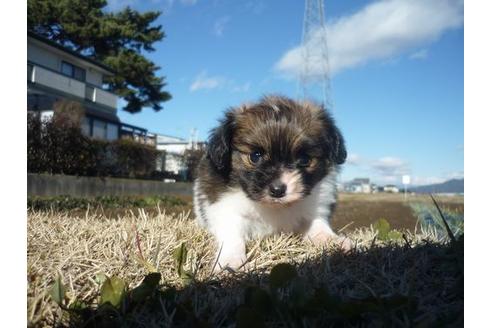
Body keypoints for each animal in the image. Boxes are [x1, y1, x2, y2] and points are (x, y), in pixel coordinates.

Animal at [194, 95, 348, 270]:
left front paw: (334, 241)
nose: (277, 190)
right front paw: (230, 262)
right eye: (255, 156)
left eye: (304, 159)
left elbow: (318, 227)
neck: (276, 207)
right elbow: (232, 236)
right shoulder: (225, 209)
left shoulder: (314, 209)